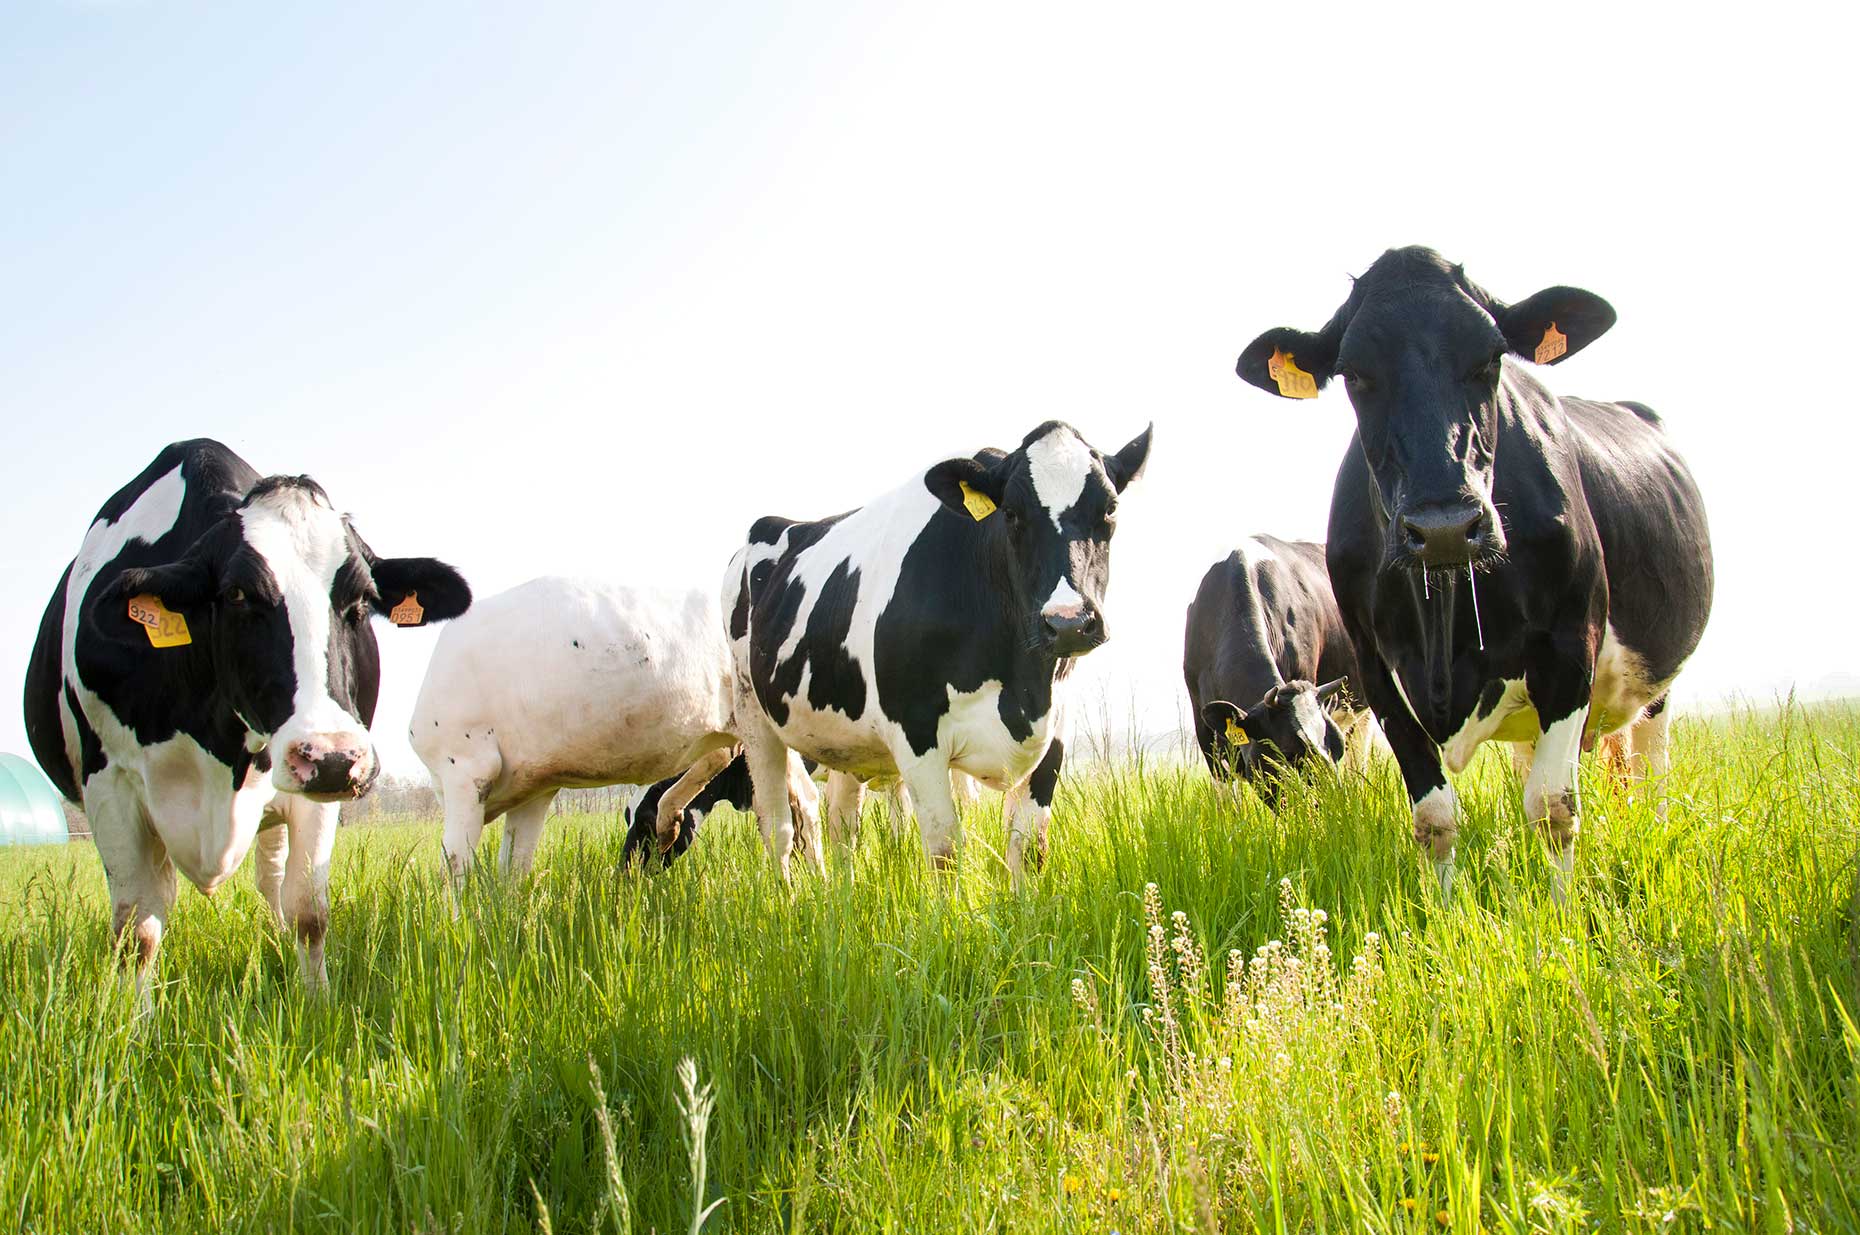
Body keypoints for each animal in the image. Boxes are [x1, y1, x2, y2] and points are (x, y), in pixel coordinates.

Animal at [22, 438, 472, 996]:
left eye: (363, 599)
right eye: (237, 594)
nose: (330, 756)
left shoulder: (317, 790)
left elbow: (308, 911)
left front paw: (316, 1002)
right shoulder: (109, 784)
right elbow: (137, 930)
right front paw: (132, 1017)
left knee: (271, 882)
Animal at [721, 420, 1145, 881]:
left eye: (1111, 508)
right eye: (1011, 513)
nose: (1068, 621)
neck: (1020, 685)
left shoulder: (1055, 731)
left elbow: (1030, 848)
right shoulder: (915, 733)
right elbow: (945, 852)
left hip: (845, 736)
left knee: (842, 824)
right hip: (752, 713)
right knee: (777, 825)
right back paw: (789, 893)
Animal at [1235, 245, 1711, 892]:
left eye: (1492, 356)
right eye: (1354, 372)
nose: (1443, 526)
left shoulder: (1571, 645)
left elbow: (1554, 808)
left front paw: (1561, 909)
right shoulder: (1377, 672)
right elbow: (1434, 817)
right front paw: (1444, 908)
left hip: (1652, 689)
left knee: (1649, 769)